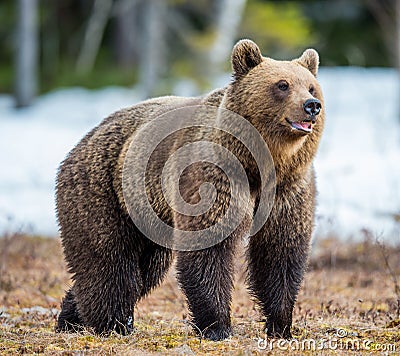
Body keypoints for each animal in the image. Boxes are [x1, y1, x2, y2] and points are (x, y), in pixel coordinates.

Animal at [57, 38, 324, 340]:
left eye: (311, 86)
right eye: (282, 85)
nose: (311, 105)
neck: (261, 165)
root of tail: (84, 138)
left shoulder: (288, 189)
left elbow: (280, 251)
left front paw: (281, 325)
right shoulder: (214, 177)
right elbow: (208, 250)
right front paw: (216, 326)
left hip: (149, 219)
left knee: (144, 268)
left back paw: (71, 318)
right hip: (103, 189)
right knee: (108, 260)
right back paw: (112, 324)